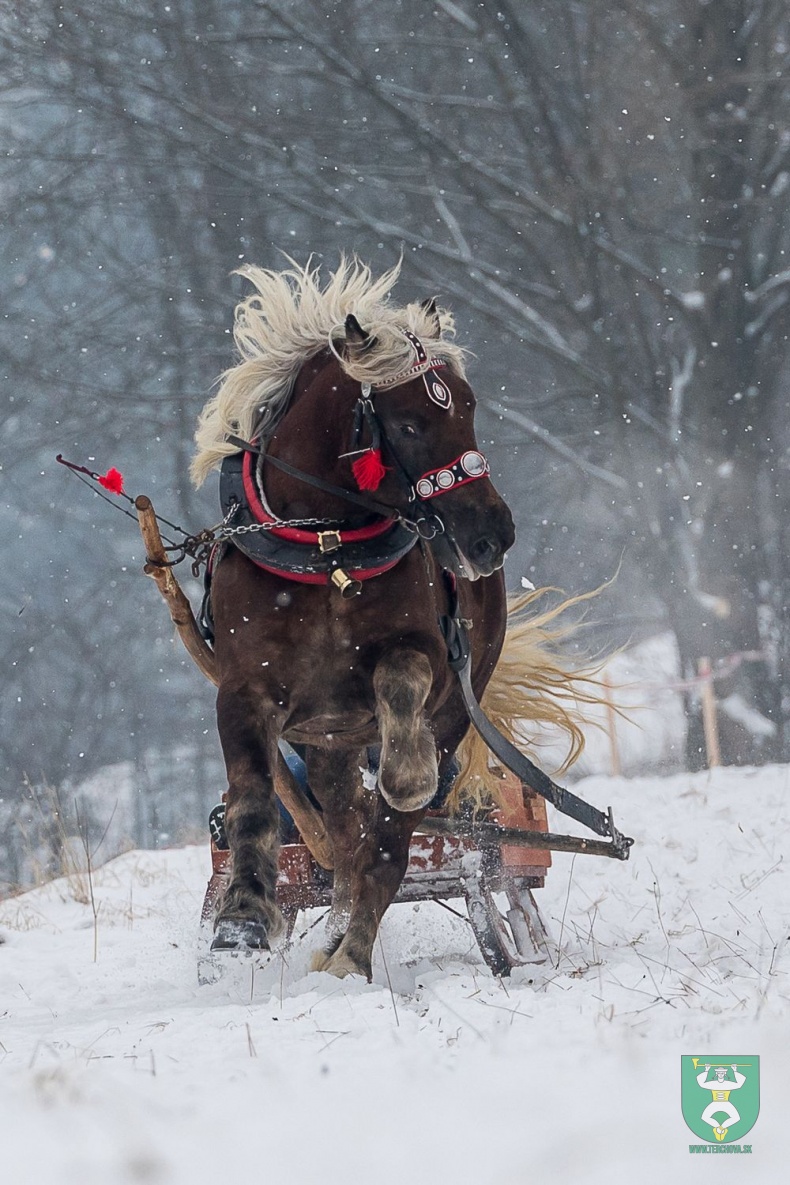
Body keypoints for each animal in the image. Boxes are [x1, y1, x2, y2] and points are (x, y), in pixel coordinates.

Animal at [194, 261, 516, 981]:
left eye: (467, 405)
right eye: (414, 422)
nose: (492, 533)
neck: (328, 547)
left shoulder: (428, 657)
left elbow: (401, 679)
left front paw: (406, 772)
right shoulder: (245, 691)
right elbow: (253, 797)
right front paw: (243, 916)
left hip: (456, 704)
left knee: (385, 844)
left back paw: (352, 954)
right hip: (328, 742)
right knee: (343, 835)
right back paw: (338, 928)